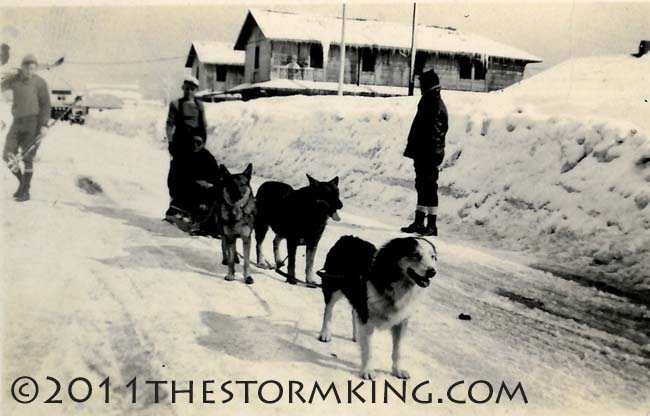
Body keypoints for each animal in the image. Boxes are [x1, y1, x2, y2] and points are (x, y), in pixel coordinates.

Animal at [318, 236, 436, 378]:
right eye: (415, 255)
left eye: (433, 257)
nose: (432, 272)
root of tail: (347, 237)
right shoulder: (367, 318)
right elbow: (368, 349)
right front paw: (368, 370)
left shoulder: (401, 321)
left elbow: (398, 350)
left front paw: (397, 370)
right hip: (333, 287)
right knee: (328, 310)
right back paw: (325, 333)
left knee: (353, 312)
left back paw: (356, 336)